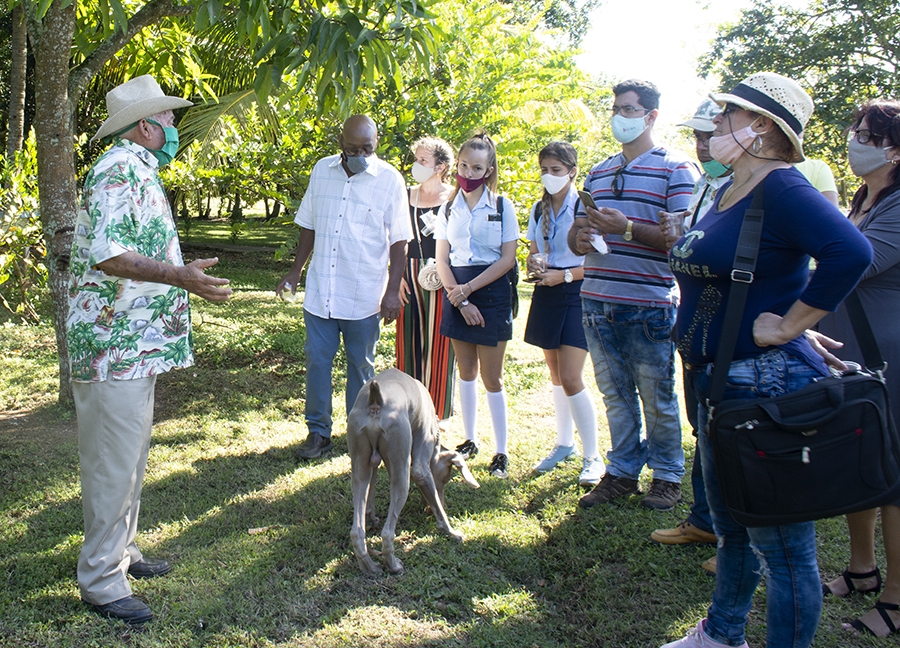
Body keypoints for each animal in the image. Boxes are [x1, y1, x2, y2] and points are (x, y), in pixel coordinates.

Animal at [347, 368, 479, 575]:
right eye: (446, 479)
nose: (429, 507)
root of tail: (376, 400)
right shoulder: (421, 466)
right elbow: (428, 489)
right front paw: (451, 531)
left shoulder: (373, 461)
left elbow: (371, 492)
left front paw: (371, 517)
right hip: (402, 473)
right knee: (387, 533)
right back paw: (394, 565)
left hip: (360, 454)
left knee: (357, 531)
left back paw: (370, 567)